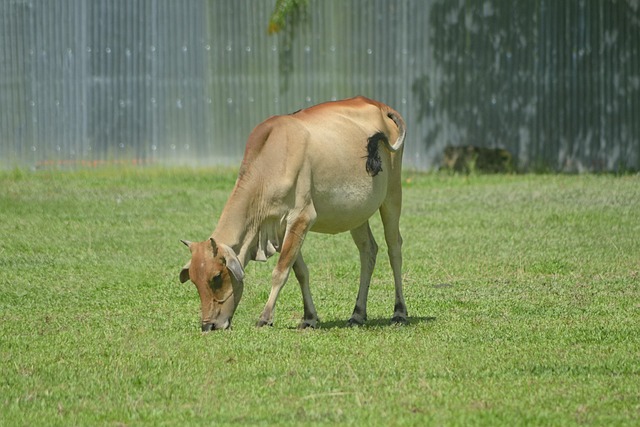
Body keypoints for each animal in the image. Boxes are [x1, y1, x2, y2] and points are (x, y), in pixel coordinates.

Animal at [180, 96, 407, 331]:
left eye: (216, 277)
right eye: (194, 280)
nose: (208, 326)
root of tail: (380, 105)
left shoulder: (301, 219)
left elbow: (280, 271)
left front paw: (265, 317)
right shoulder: (281, 229)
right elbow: (300, 271)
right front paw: (309, 317)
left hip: (392, 196)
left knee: (394, 248)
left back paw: (399, 312)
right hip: (357, 214)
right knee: (368, 250)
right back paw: (357, 313)